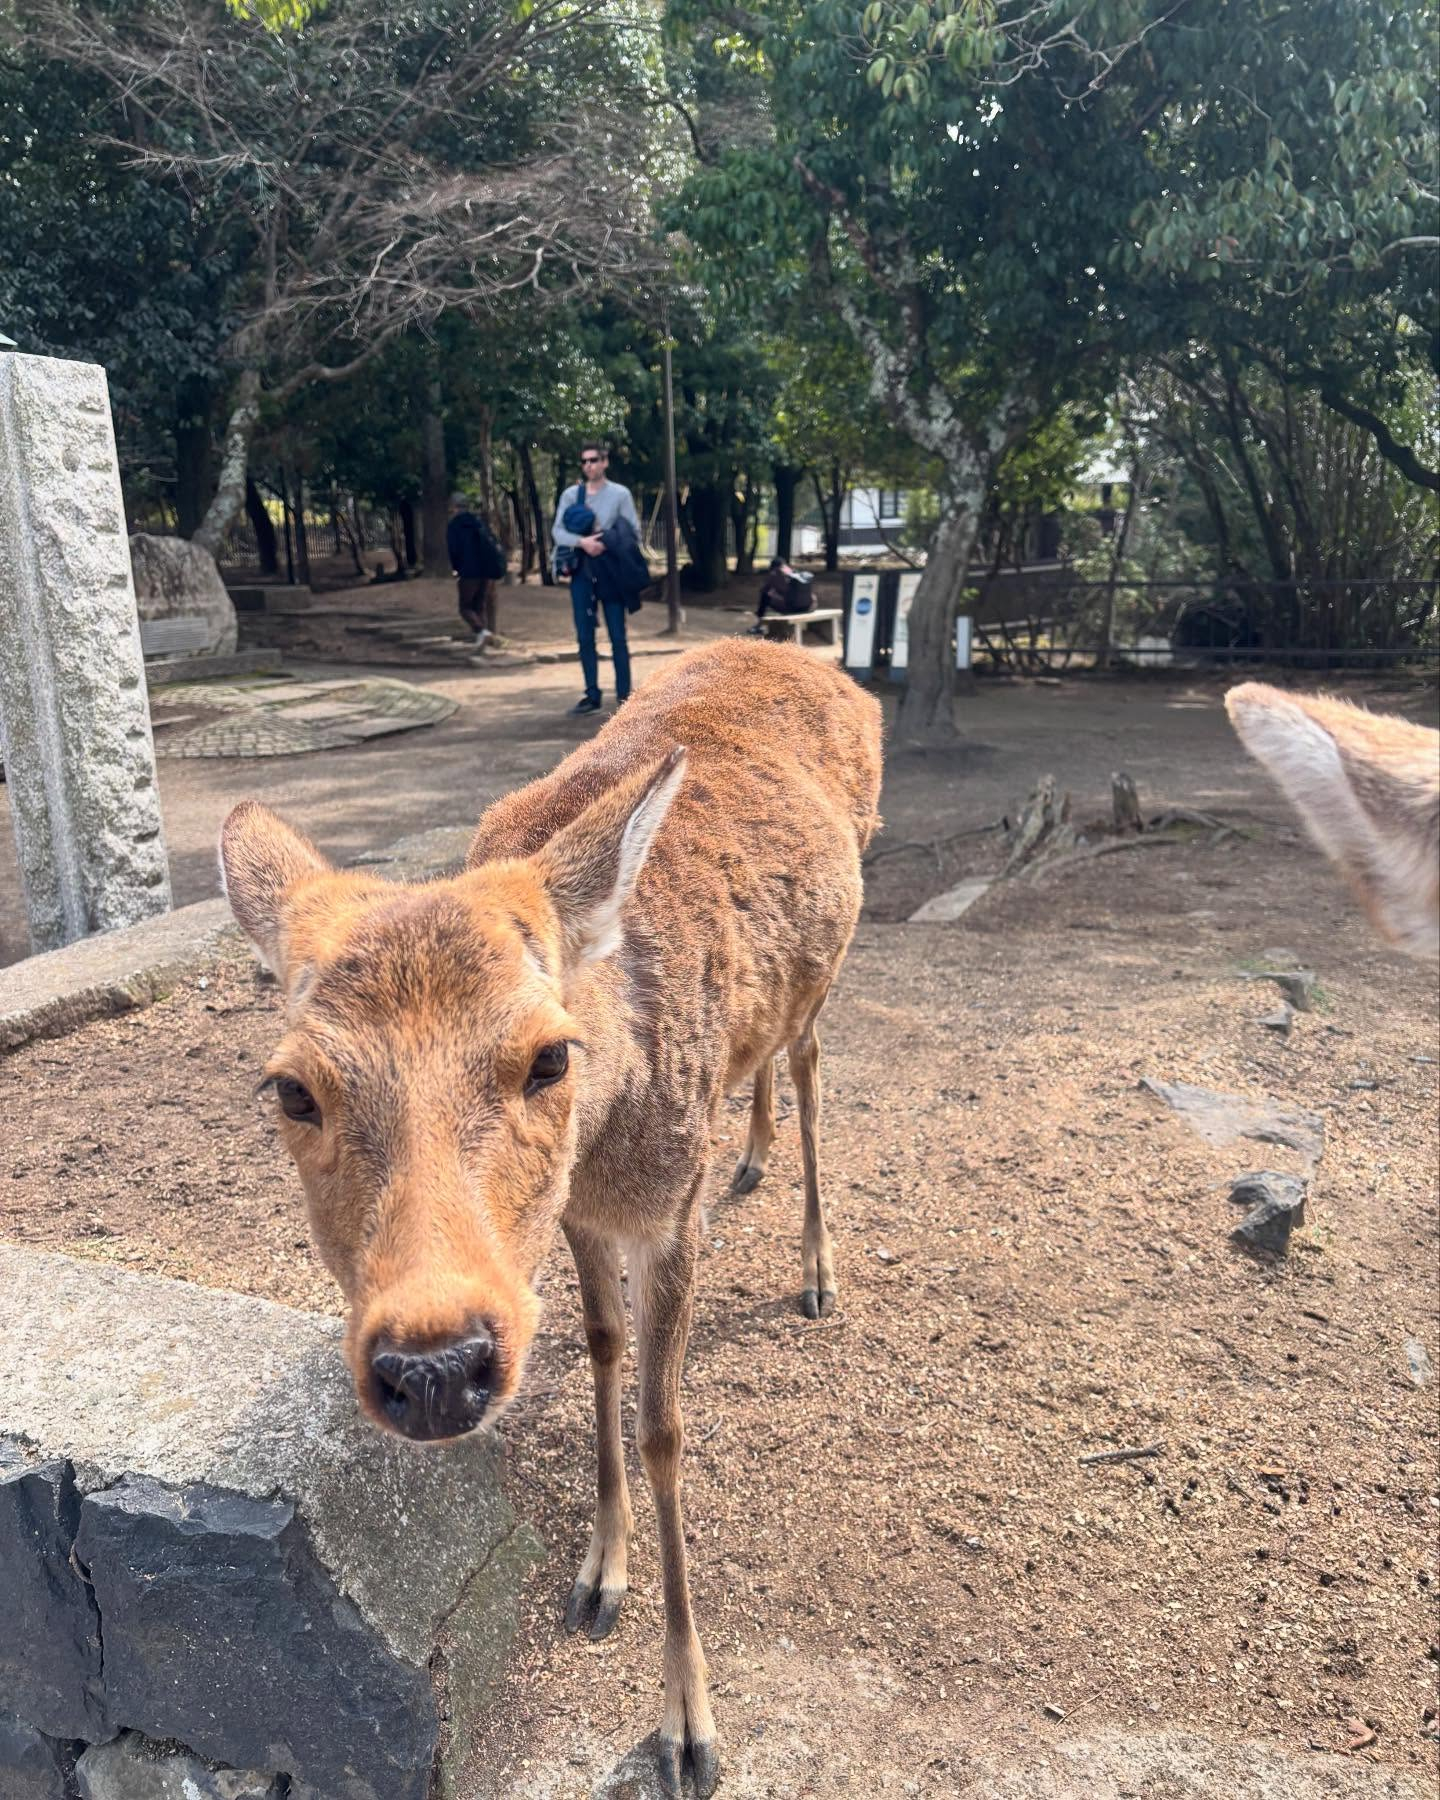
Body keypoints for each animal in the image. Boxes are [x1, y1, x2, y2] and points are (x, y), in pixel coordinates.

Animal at [219, 640, 882, 1792]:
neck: (613, 1146)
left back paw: (815, 1266)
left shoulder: (668, 1214)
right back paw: (749, 1156)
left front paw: (688, 1725)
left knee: (807, 1063)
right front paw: (598, 1575)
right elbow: (606, 1348)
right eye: (291, 1089)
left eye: (549, 1056)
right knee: (764, 1068)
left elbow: (664, 1426)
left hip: (834, 961)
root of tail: (810, 655)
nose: (436, 1365)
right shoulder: (577, 1217)